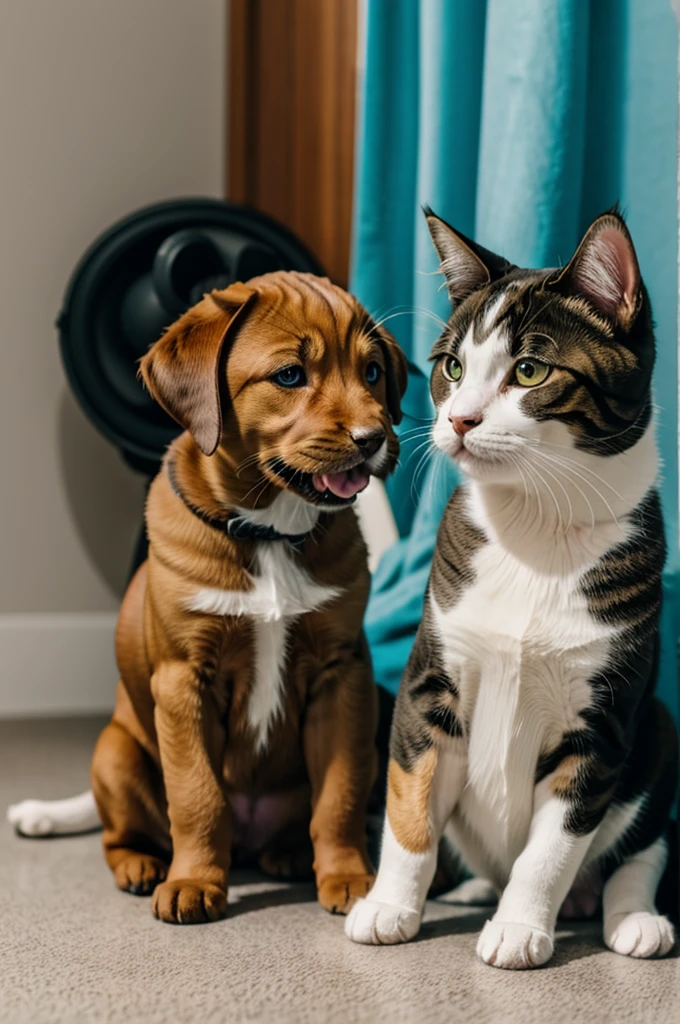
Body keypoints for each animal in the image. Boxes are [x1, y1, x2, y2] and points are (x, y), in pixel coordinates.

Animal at [91, 270, 409, 921]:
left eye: (372, 372)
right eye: (289, 375)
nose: (373, 439)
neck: (270, 534)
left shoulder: (343, 675)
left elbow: (339, 796)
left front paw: (347, 877)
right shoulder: (183, 679)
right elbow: (197, 796)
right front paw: (193, 881)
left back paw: (287, 855)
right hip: (114, 752)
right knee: (124, 832)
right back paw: (141, 864)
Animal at [348, 205, 675, 966]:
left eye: (529, 370)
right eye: (452, 366)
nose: (459, 418)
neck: (535, 531)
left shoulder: (602, 722)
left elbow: (551, 847)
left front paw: (522, 927)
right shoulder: (429, 682)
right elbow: (410, 804)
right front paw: (389, 906)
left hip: (658, 730)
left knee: (642, 846)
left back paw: (631, 918)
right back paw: (471, 890)